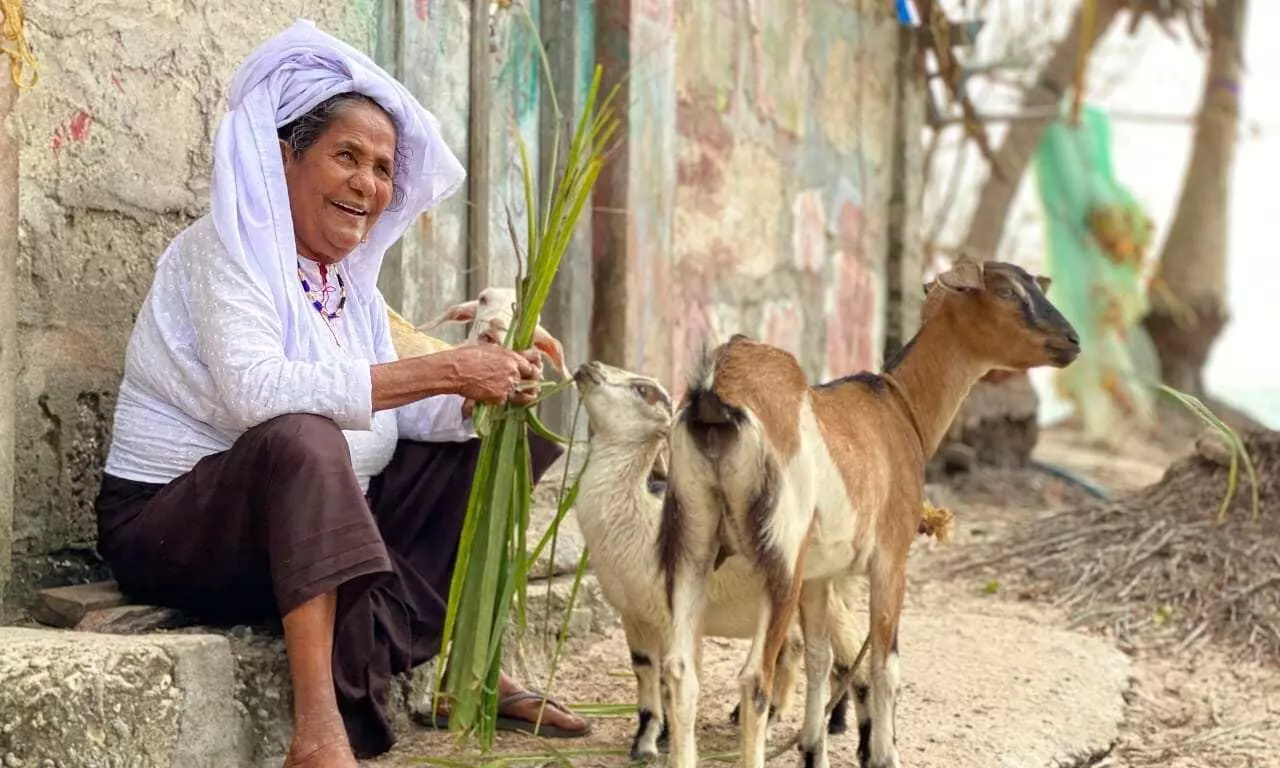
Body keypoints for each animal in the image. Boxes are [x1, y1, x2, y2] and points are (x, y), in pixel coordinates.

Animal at [660, 258, 1080, 768]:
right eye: (1004, 290)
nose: (1072, 341)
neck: (899, 407)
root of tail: (714, 397)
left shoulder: (819, 574)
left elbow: (821, 658)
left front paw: (814, 750)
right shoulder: (889, 560)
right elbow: (886, 663)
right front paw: (884, 754)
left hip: (691, 538)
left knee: (680, 670)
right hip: (780, 556)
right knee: (755, 679)